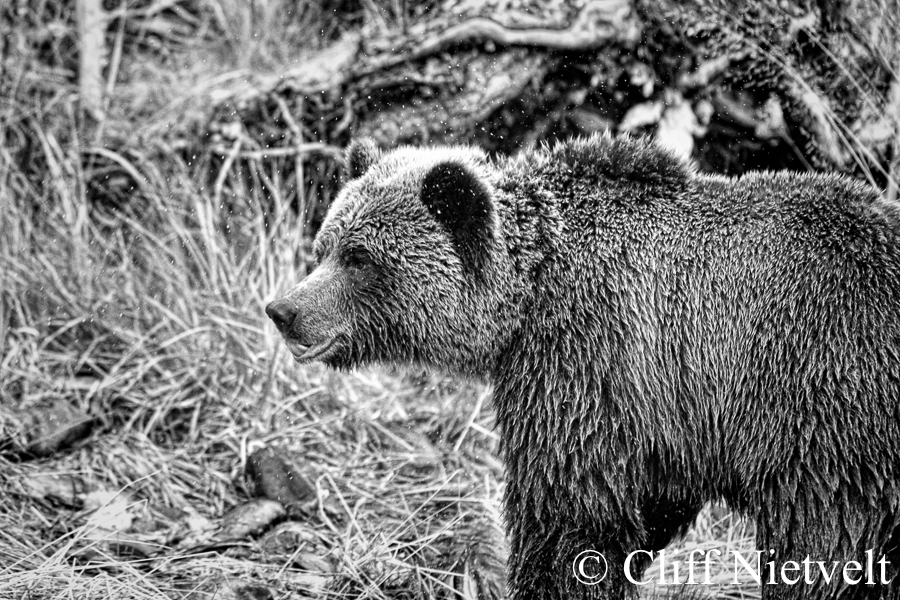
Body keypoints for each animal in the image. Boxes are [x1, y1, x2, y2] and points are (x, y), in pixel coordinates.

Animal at [266, 134, 900, 600]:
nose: (285, 310)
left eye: (360, 257)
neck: (529, 295)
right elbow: (643, 503)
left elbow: (570, 512)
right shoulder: (667, 413)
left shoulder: (588, 356)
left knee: (825, 545)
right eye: (324, 245)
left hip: (824, 402)